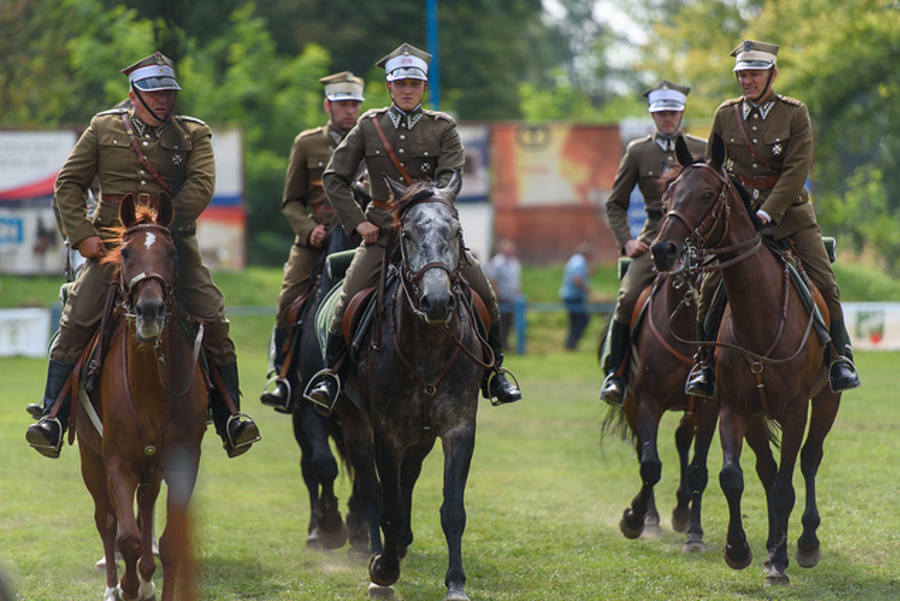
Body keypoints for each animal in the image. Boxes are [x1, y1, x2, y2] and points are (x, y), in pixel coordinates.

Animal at [77, 193, 207, 600]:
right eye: (125, 253)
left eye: (172, 252)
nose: (150, 310)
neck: (151, 385)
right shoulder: (117, 462)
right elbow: (127, 537)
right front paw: (128, 587)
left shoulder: (182, 461)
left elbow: (169, 542)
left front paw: (148, 583)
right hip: (91, 458)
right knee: (106, 521)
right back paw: (113, 586)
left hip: (152, 467)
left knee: (146, 509)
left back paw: (146, 578)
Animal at [344, 172, 486, 600]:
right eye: (405, 235)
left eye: (457, 231)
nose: (437, 302)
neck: (428, 346)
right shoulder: (386, 433)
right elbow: (387, 505)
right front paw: (384, 570)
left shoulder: (459, 427)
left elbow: (452, 509)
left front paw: (456, 582)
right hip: (356, 425)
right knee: (372, 489)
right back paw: (379, 554)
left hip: (421, 435)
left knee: (407, 478)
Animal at [604, 264, 716, 552]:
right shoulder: (647, 402)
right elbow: (650, 464)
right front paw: (634, 519)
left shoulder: (707, 408)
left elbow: (698, 471)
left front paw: (694, 534)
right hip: (632, 405)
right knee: (643, 450)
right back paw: (651, 518)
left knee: (682, 439)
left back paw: (682, 511)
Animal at [652, 134, 840, 584]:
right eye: (669, 192)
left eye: (707, 194)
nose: (662, 249)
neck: (760, 316)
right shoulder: (734, 408)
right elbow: (732, 477)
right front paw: (740, 550)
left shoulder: (795, 410)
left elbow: (788, 485)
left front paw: (781, 563)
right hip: (756, 416)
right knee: (768, 471)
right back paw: (775, 546)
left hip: (826, 400)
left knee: (809, 460)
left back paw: (805, 543)